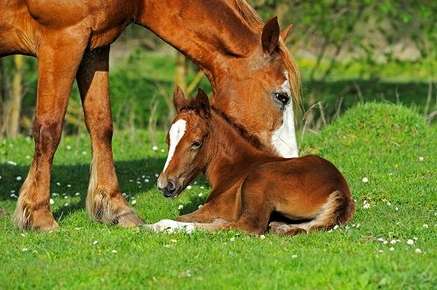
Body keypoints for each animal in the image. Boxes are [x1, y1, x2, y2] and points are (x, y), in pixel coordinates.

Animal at [0, 0, 300, 231]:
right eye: (281, 97)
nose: (289, 162)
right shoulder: (62, 39)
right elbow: (49, 128)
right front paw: (38, 216)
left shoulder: (94, 46)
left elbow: (101, 125)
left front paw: (114, 208)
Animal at [150, 89, 354, 236]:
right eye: (168, 141)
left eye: (196, 143)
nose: (165, 184)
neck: (235, 169)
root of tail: (340, 190)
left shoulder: (211, 209)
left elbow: (178, 218)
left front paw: (150, 226)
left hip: (260, 177)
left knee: (247, 226)